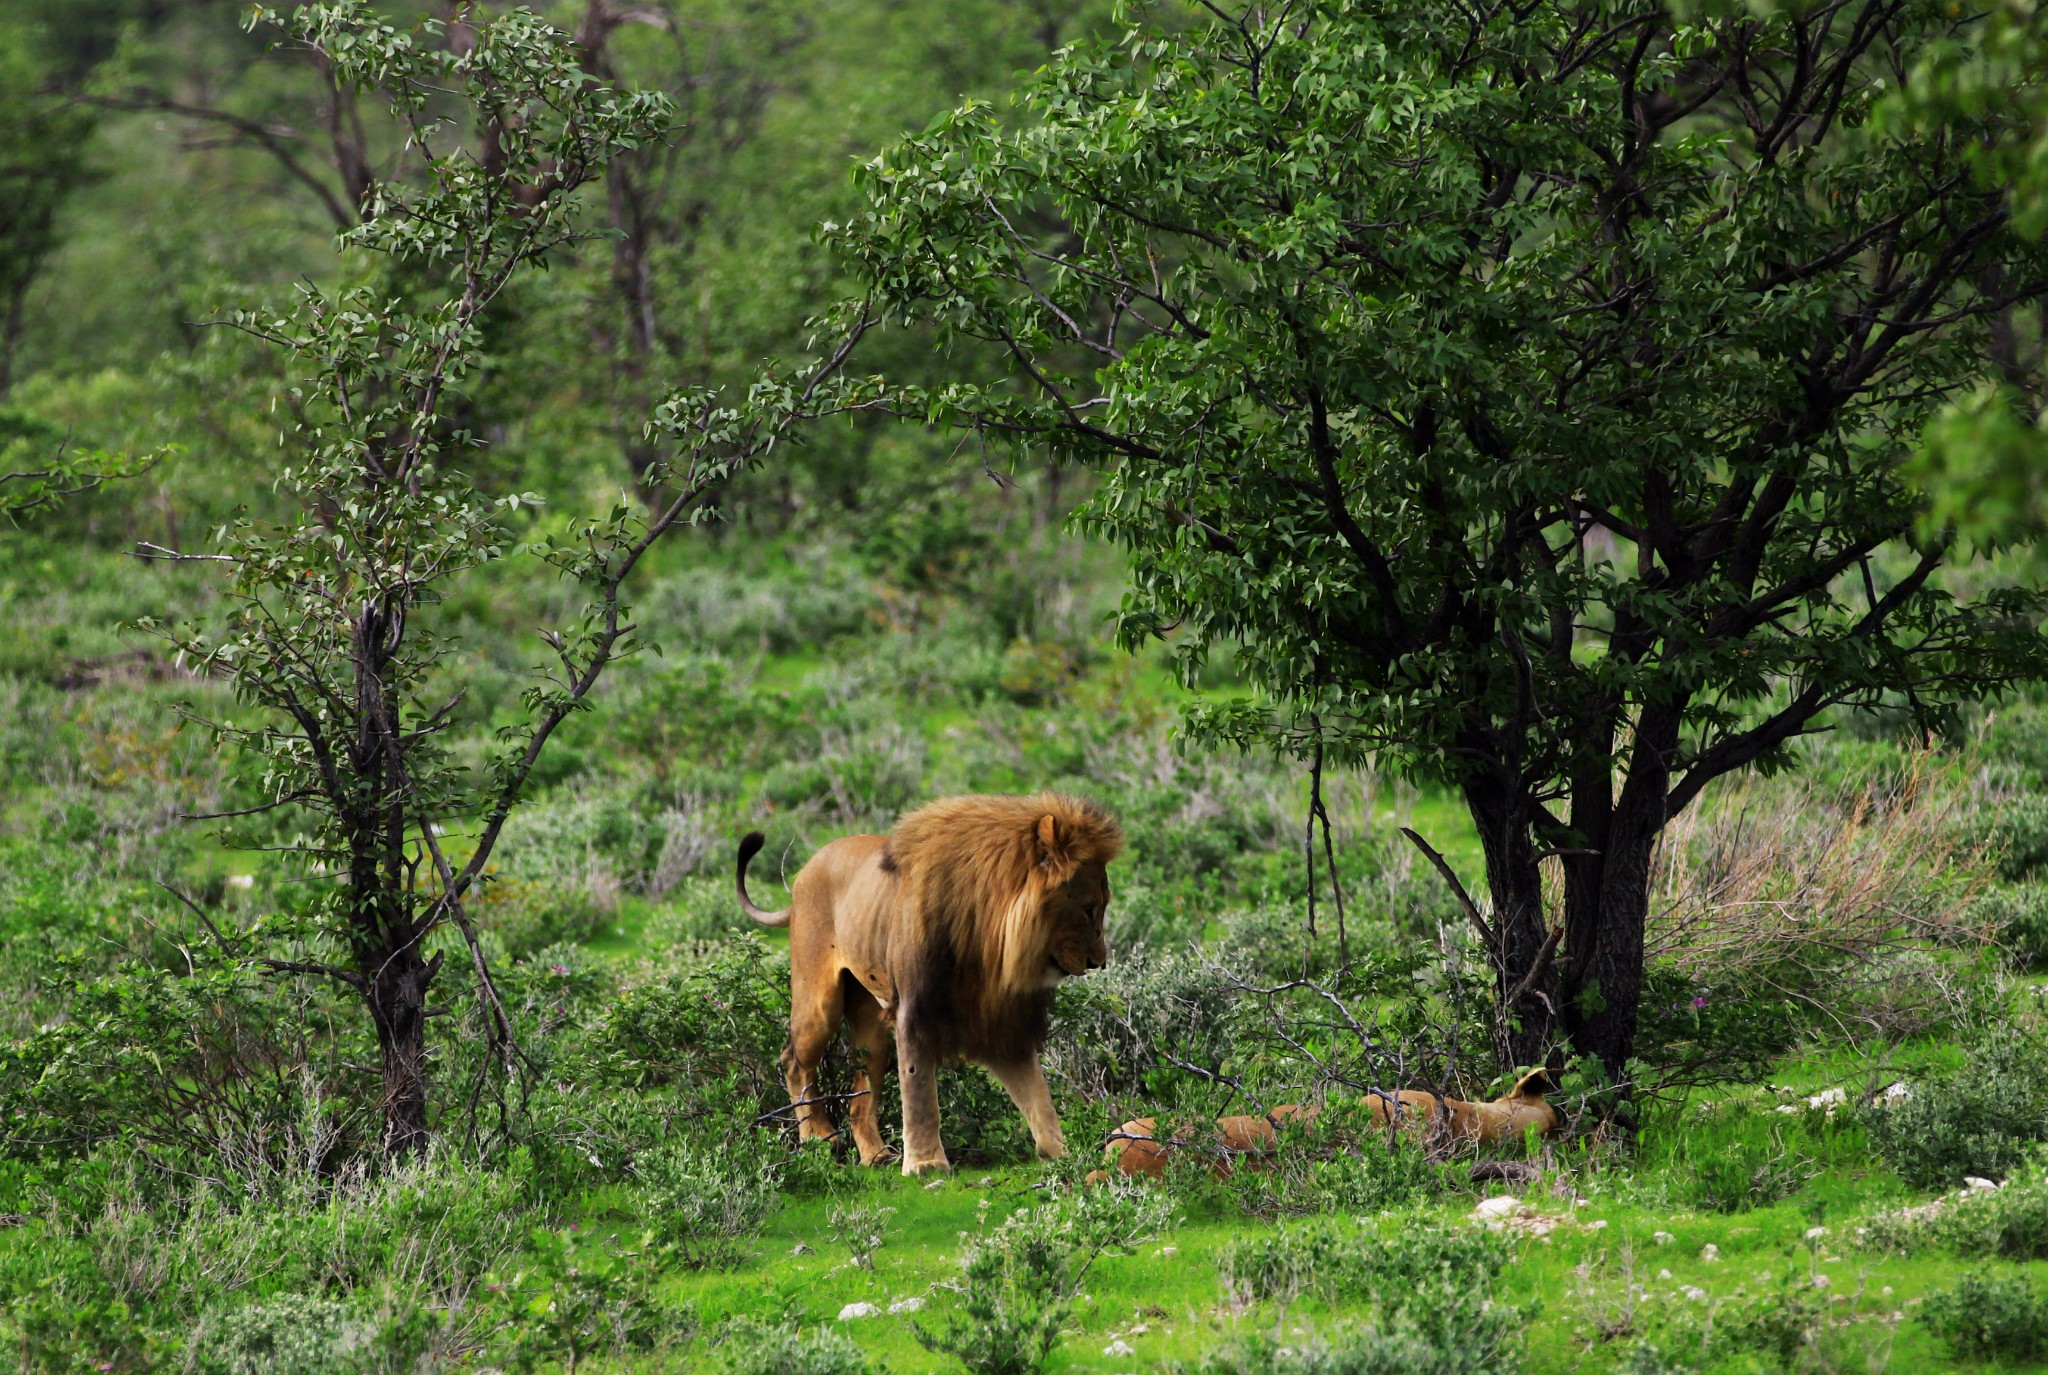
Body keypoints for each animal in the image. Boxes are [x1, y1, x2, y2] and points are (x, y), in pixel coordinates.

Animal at [737, 795, 1122, 1172]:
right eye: (1089, 908)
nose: (1098, 961)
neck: (990, 936)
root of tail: (803, 874)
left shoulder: (999, 1020)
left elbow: (1036, 1092)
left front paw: (1064, 1151)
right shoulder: (915, 1010)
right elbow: (920, 1091)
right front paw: (926, 1164)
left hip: (870, 1025)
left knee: (860, 1097)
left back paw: (876, 1155)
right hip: (819, 1003)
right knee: (793, 1061)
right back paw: (819, 1137)